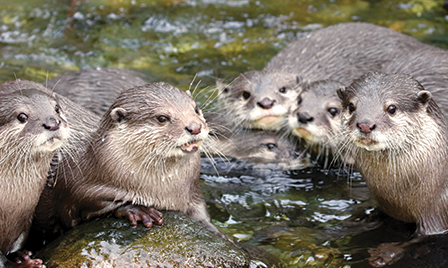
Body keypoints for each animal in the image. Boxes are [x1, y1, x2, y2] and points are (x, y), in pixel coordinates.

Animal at [0, 82, 70, 266]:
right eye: (22, 116)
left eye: (57, 108)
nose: (52, 123)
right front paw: (22, 264)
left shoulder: (25, 218)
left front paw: (19, 256)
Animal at [33, 81, 219, 239]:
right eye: (162, 118)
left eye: (196, 108)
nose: (195, 127)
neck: (163, 192)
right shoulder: (76, 188)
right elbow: (90, 202)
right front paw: (140, 210)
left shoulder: (193, 193)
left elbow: (201, 214)